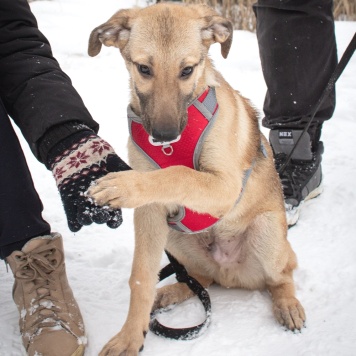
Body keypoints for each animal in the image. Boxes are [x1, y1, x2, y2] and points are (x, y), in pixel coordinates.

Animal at [87, 2, 306, 354]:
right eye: (144, 69)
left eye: (187, 70)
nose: (164, 136)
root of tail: (229, 273)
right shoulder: (151, 214)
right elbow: (140, 277)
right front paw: (131, 335)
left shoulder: (225, 186)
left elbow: (179, 173)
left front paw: (124, 184)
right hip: (175, 238)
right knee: (199, 279)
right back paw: (169, 292)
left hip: (267, 232)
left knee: (281, 275)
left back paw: (287, 304)